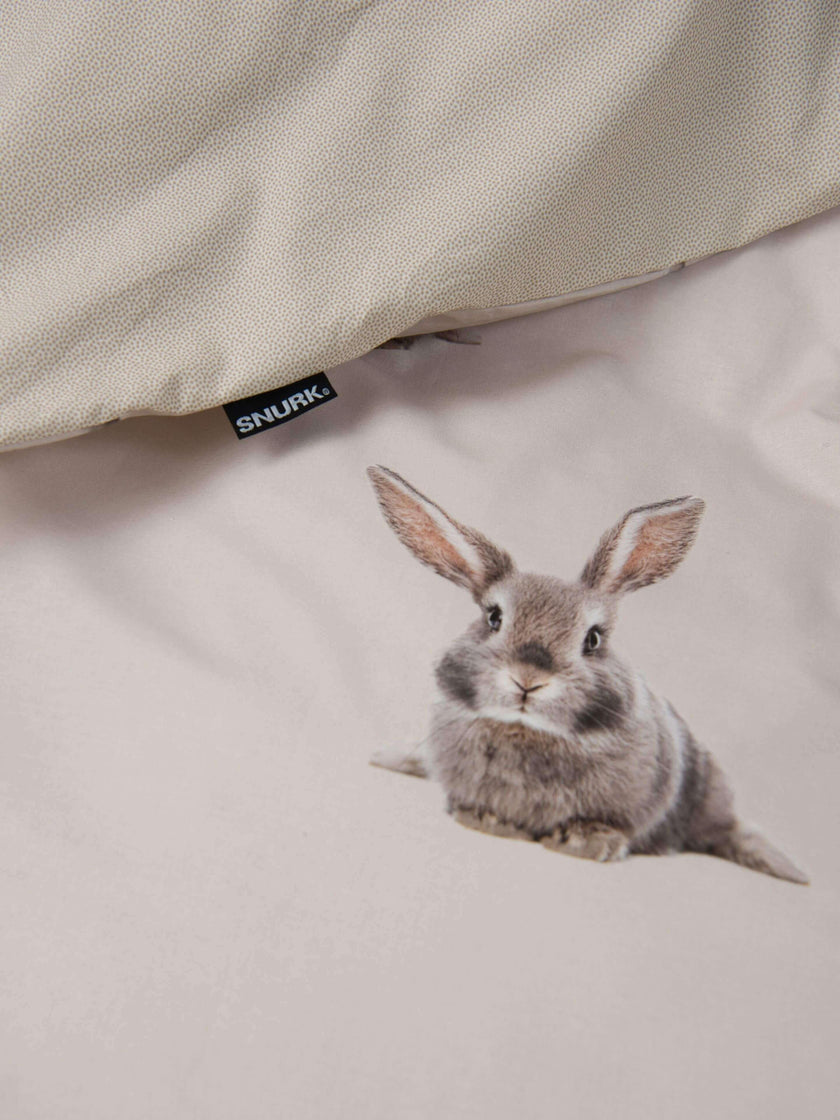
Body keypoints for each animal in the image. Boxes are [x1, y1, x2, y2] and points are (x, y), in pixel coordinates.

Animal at [367, 465, 809, 884]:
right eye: (493, 618)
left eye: (593, 639)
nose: (528, 679)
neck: (528, 731)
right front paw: (488, 821)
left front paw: (585, 843)